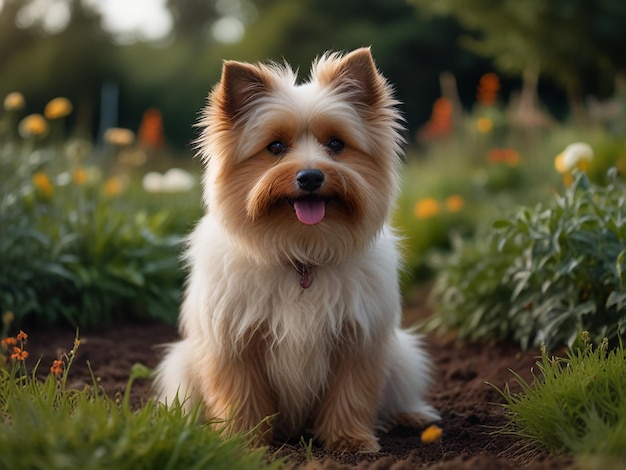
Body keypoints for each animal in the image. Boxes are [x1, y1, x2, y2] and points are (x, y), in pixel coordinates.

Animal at [155, 47, 438, 452]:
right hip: (182, 363)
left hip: (403, 356)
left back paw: (413, 415)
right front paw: (243, 441)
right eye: (275, 147)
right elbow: (240, 395)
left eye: (336, 144)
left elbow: (351, 394)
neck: (302, 255)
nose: (311, 176)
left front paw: (350, 439)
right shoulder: (234, 344)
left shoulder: (357, 341)